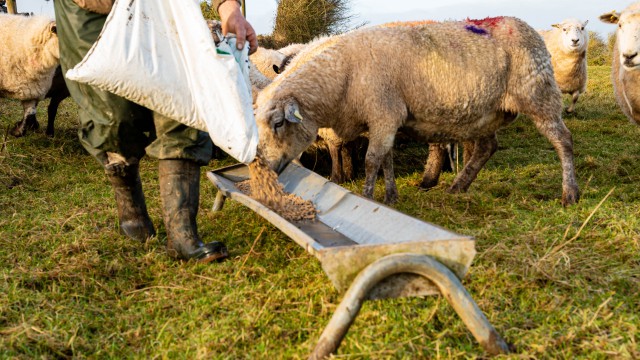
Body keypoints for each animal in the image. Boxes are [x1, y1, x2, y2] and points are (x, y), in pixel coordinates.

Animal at [254, 16, 580, 207]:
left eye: (279, 122)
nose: (268, 168)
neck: (342, 76)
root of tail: (529, 27)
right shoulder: (384, 119)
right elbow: (386, 160)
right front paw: (390, 196)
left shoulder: (383, 112)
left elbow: (372, 161)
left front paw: (368, 197)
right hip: (487, 111)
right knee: (487, 147)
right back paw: (458, 187)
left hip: (538, 93)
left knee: (563, 140)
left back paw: (570, 193)